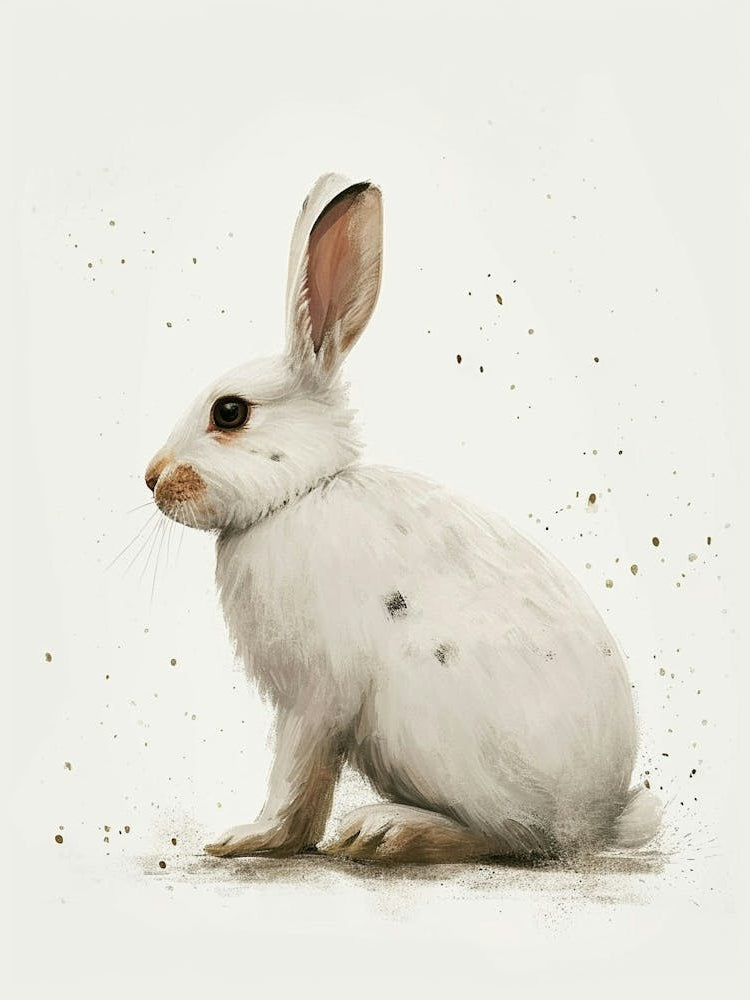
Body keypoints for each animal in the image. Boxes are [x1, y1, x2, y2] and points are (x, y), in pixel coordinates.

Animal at [145, 173, 662, 864]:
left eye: (229, 412)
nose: (151, 479)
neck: (299, 495)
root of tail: (597, 821)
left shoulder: (314, 696)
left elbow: (295, 774)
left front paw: (249, 839)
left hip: (426, 717)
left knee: (509, 837)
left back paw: (385, 830)